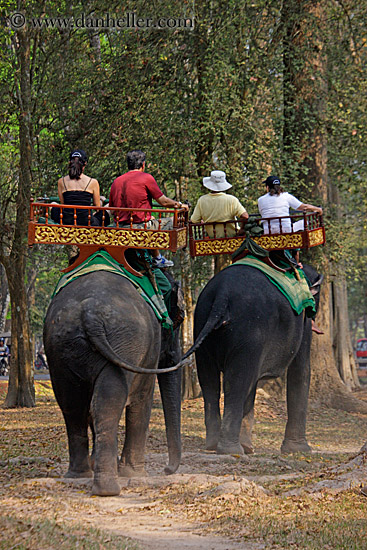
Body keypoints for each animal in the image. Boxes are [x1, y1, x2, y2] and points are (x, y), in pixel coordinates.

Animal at [43, 270, 185, 498]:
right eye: (177, 323)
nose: (166, 469)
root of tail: (89, 312)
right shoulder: (148, 352)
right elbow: (141, 399)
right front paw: (135, 473)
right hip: (125, 343)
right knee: (108, 402)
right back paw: (108, 488)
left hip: (61, 348)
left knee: (73, 405)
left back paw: (79, 475)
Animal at [194, 264, 324, 458]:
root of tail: (222, 293)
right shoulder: (303, 318)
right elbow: (300, 369)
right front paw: (300, 450)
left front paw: (249, 447)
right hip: (249, 332)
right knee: (236, 381)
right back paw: (231, 450)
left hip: (201, 324)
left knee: (209, 380)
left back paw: (214, 445)